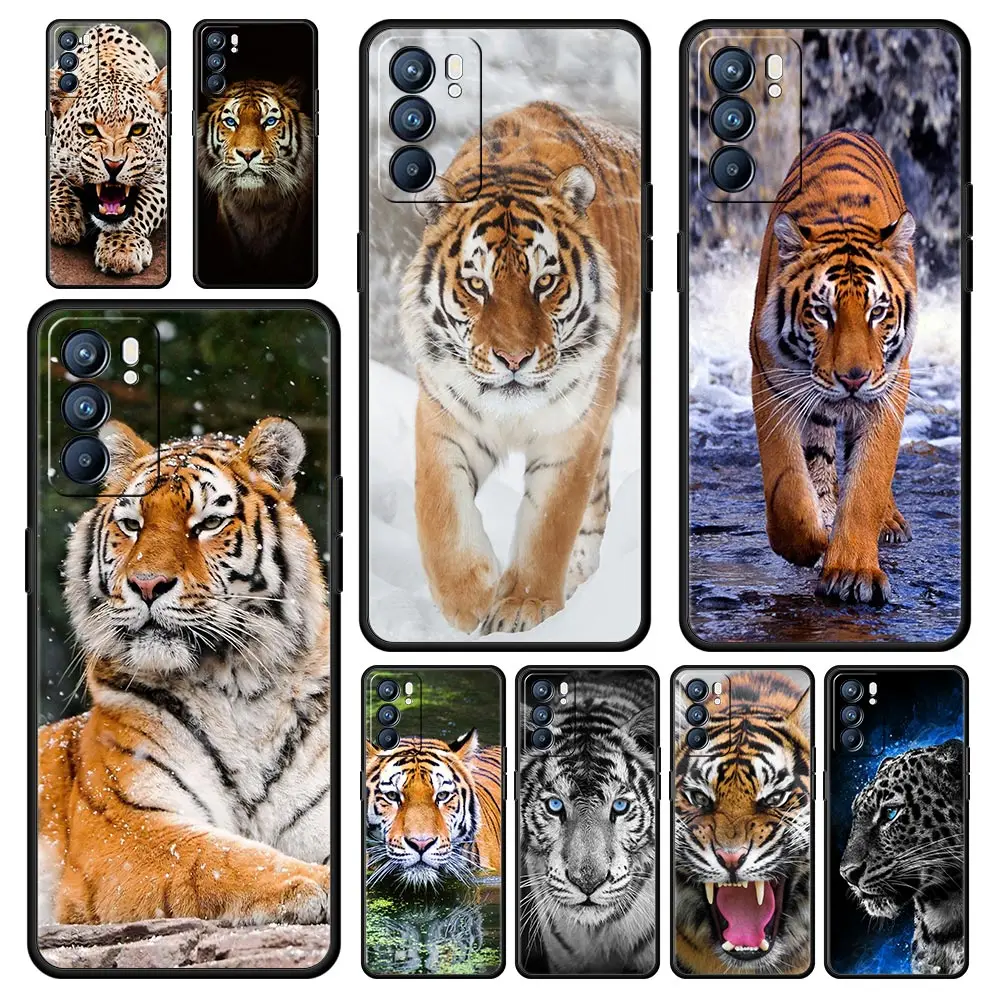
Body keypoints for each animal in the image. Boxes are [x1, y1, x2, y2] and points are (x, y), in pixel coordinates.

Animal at [37, 417, 332, 929]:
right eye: (131, 525)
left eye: (209, 522)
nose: (146, 584)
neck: (240, 691)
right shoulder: (123, 824)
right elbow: (216, 858)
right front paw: (318, 882)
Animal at [49, 23, 167, 276]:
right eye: (89, 129)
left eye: (138, 129)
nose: (114, 165)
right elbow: (54, 180)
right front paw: (63, 218)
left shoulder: (163, 174)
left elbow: (140, 208)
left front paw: (121, 247)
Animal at [400, 101, 642, 634]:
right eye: (477, 285)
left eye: (544, 282)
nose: (514, 359)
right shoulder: (444, 419)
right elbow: (440, 514)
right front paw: (469, 602)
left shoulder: (573, 430)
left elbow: (549, 524)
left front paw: (521, 609)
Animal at [750, 129, 918, 604]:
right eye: (822, 312)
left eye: (878, 312)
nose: (853, 378)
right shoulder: (771, 382)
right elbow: (787, 483)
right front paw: (807, 544)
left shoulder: (890, 387)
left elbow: (868, 481)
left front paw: (853, 570)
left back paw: (888, 521)